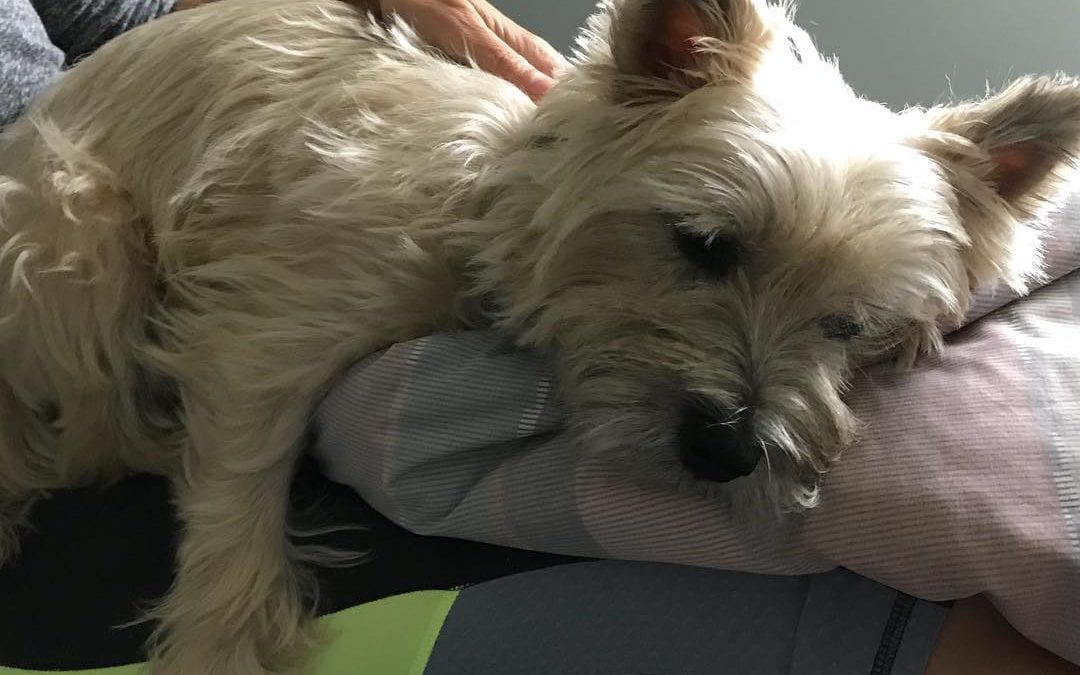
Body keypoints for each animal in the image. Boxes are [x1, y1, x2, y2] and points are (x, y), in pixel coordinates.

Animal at [2, 0, 1080, 669]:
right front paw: (218, 643)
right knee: (86, 439)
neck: (480, 223)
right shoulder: (272, 323)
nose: (728, 451)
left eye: (851, 326)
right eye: (704, 245)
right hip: (75, 230)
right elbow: (236, 498)